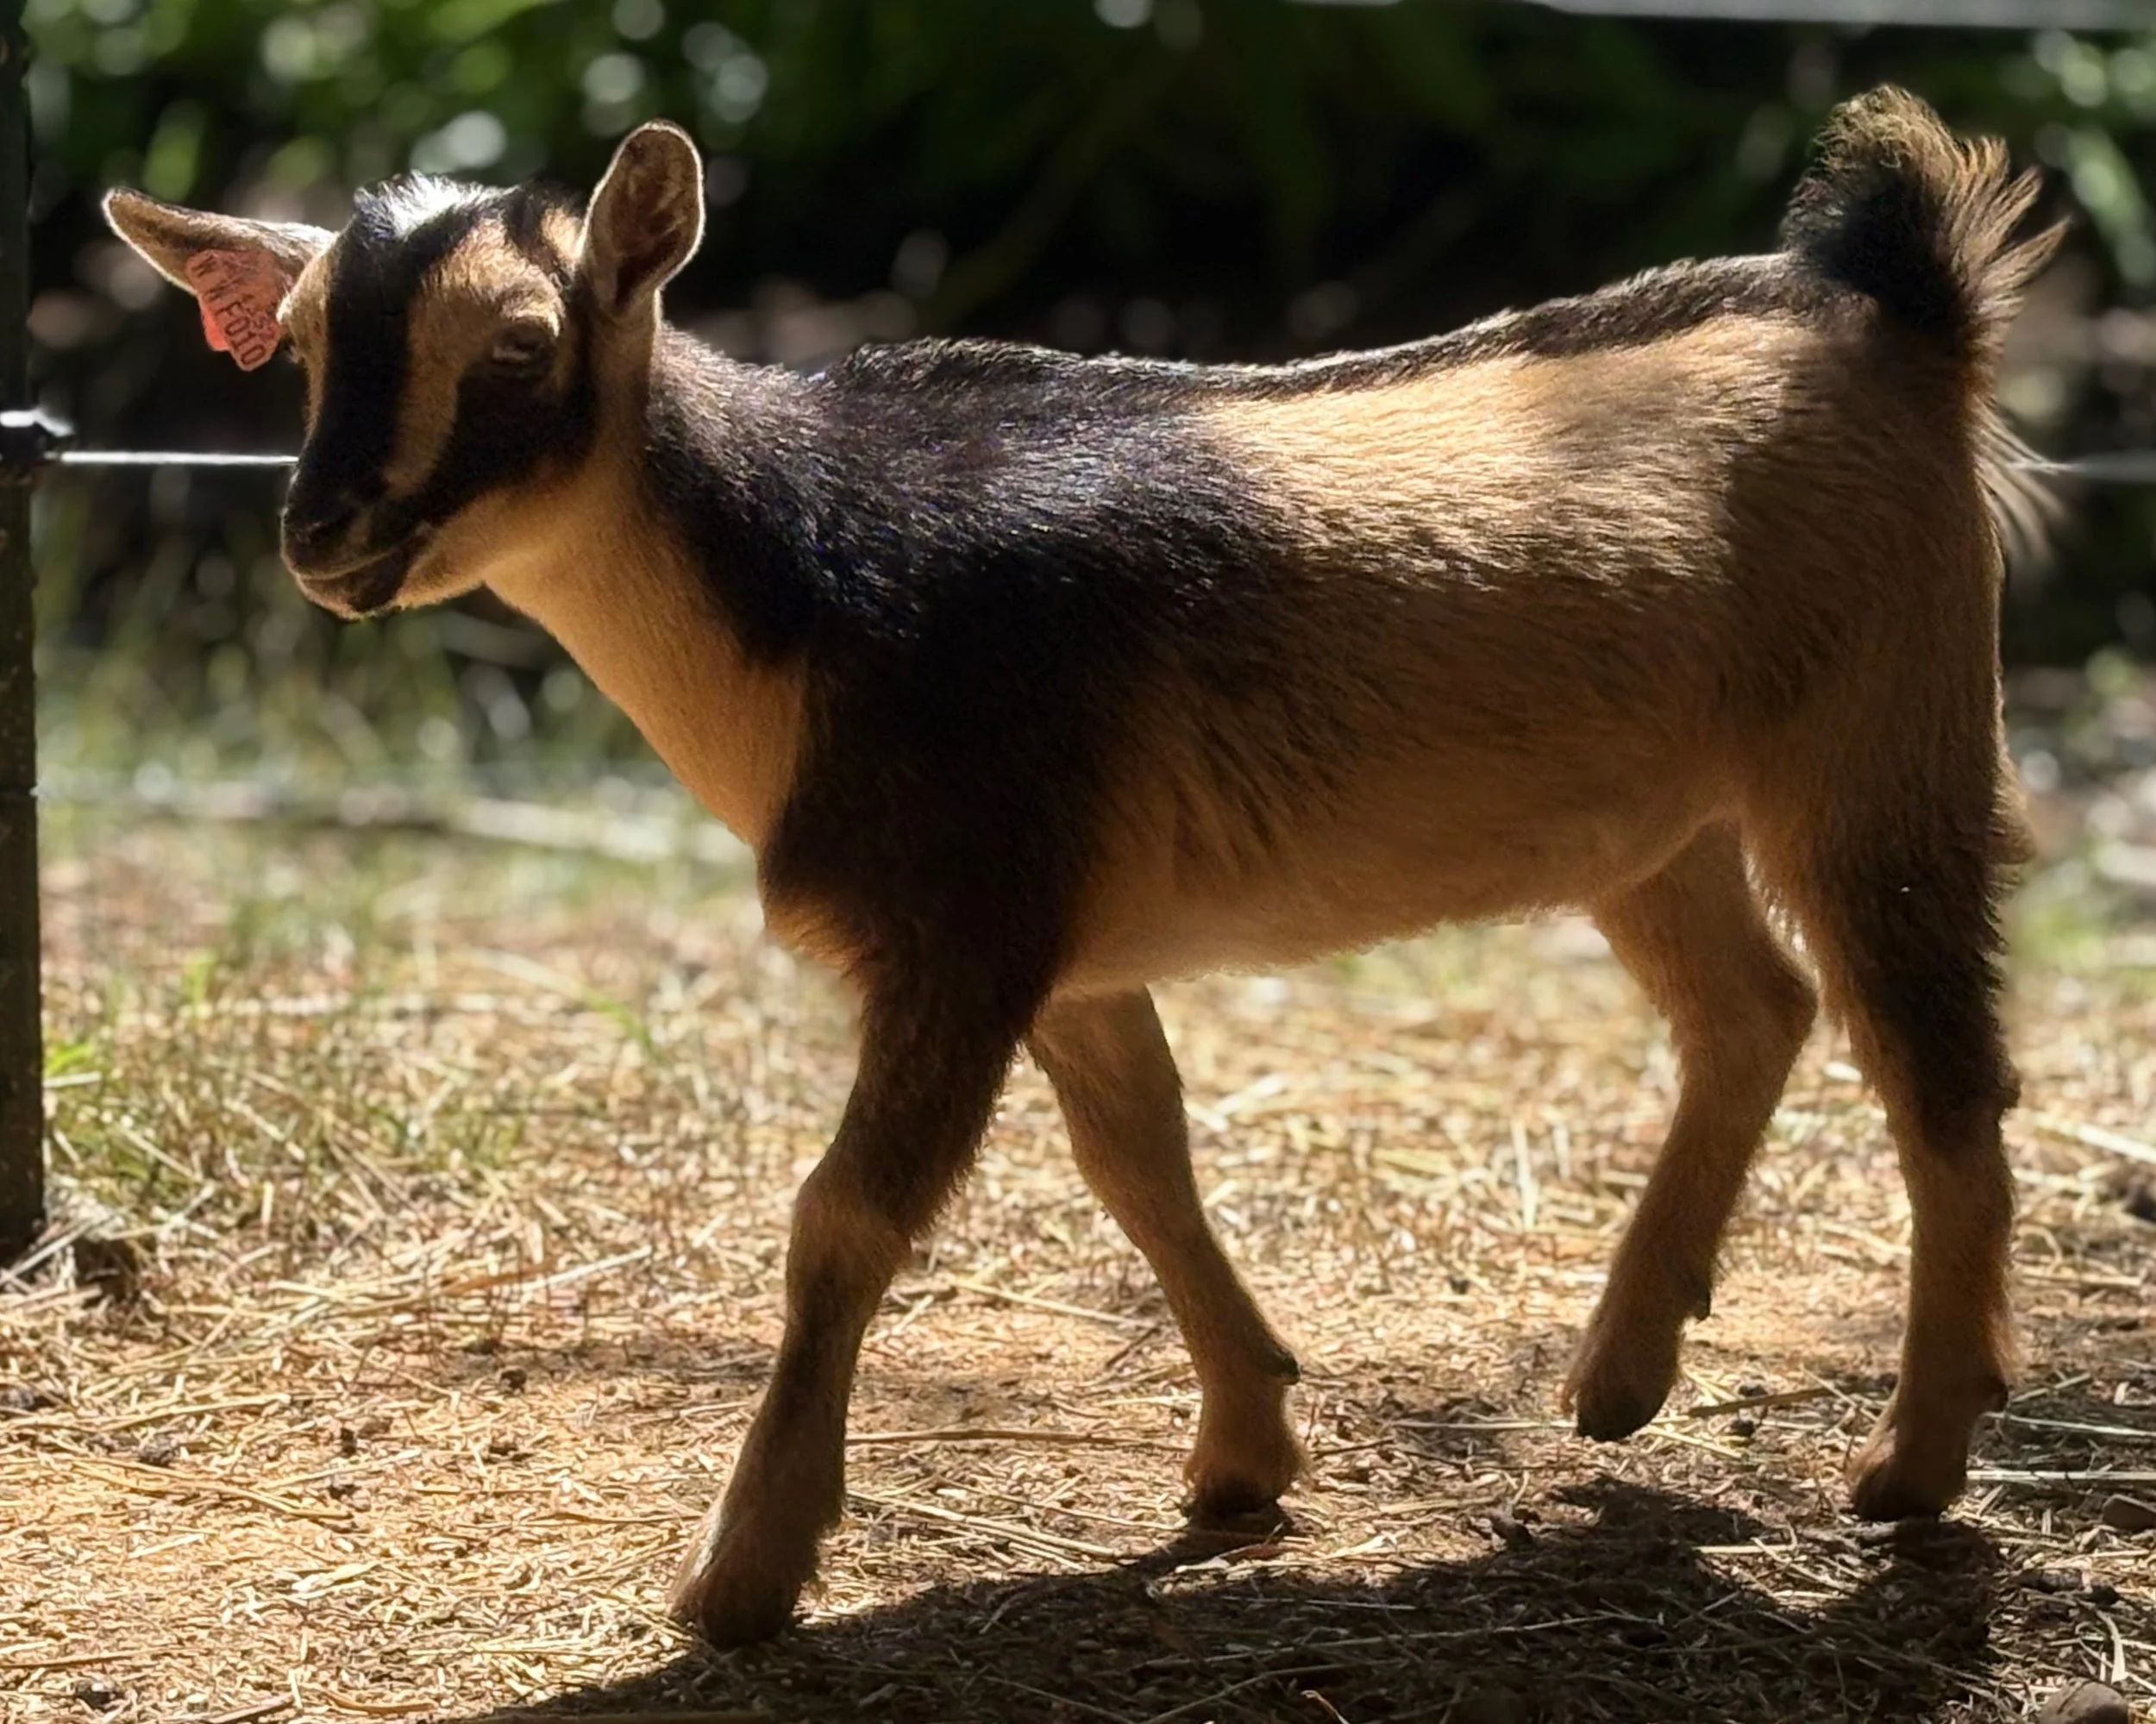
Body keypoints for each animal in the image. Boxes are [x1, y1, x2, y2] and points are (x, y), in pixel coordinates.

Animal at [106, 87, 2060, 1645]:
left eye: (517, 347)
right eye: (298, 348)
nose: (324, 538)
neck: (810, 577)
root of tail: (1902, 313)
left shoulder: (965, 916)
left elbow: (845, 1213)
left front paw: (742, 1576)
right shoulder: (1071, 944)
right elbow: (1140, 1168)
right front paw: (1244, 1456)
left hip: (1881, 743)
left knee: (1941, 1073)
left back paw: (1907, 1461)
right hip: (1649, 822)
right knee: (1754, 1008)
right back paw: (1618, 1375)